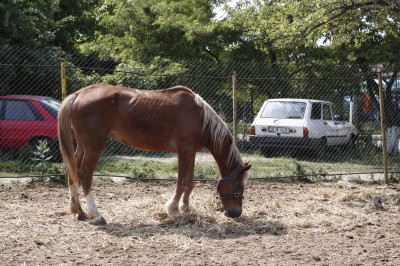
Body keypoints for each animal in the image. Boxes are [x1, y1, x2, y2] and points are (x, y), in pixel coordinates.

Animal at [57, 83, 250, 224]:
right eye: (238, 189)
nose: (235, 213)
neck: (200, 117)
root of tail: (79, 94)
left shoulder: (191, 153)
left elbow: (190, 182)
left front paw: (186, 208)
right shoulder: (184, 151)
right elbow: (182, 182)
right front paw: (174, 210)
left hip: (82, 146)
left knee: (72, 171)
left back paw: (79, 212)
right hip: (94, 146)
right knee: (85, 175)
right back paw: (96, 215)